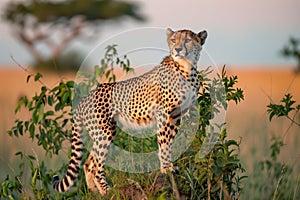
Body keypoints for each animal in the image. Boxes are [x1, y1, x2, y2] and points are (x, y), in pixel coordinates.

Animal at [52, 27, 207, 195]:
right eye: (173, 40)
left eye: (187, 40)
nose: (177, 49)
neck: (186, 67)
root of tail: (85, 98)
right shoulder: (165, 114)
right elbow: (164, 141)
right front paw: (166, 168)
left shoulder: (176, 115)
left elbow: (169, 141)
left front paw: (169, 166)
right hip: (105, 131)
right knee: (97, 165)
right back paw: (107, 191)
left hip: (98, 133)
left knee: (89, 162)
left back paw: (95, 192)